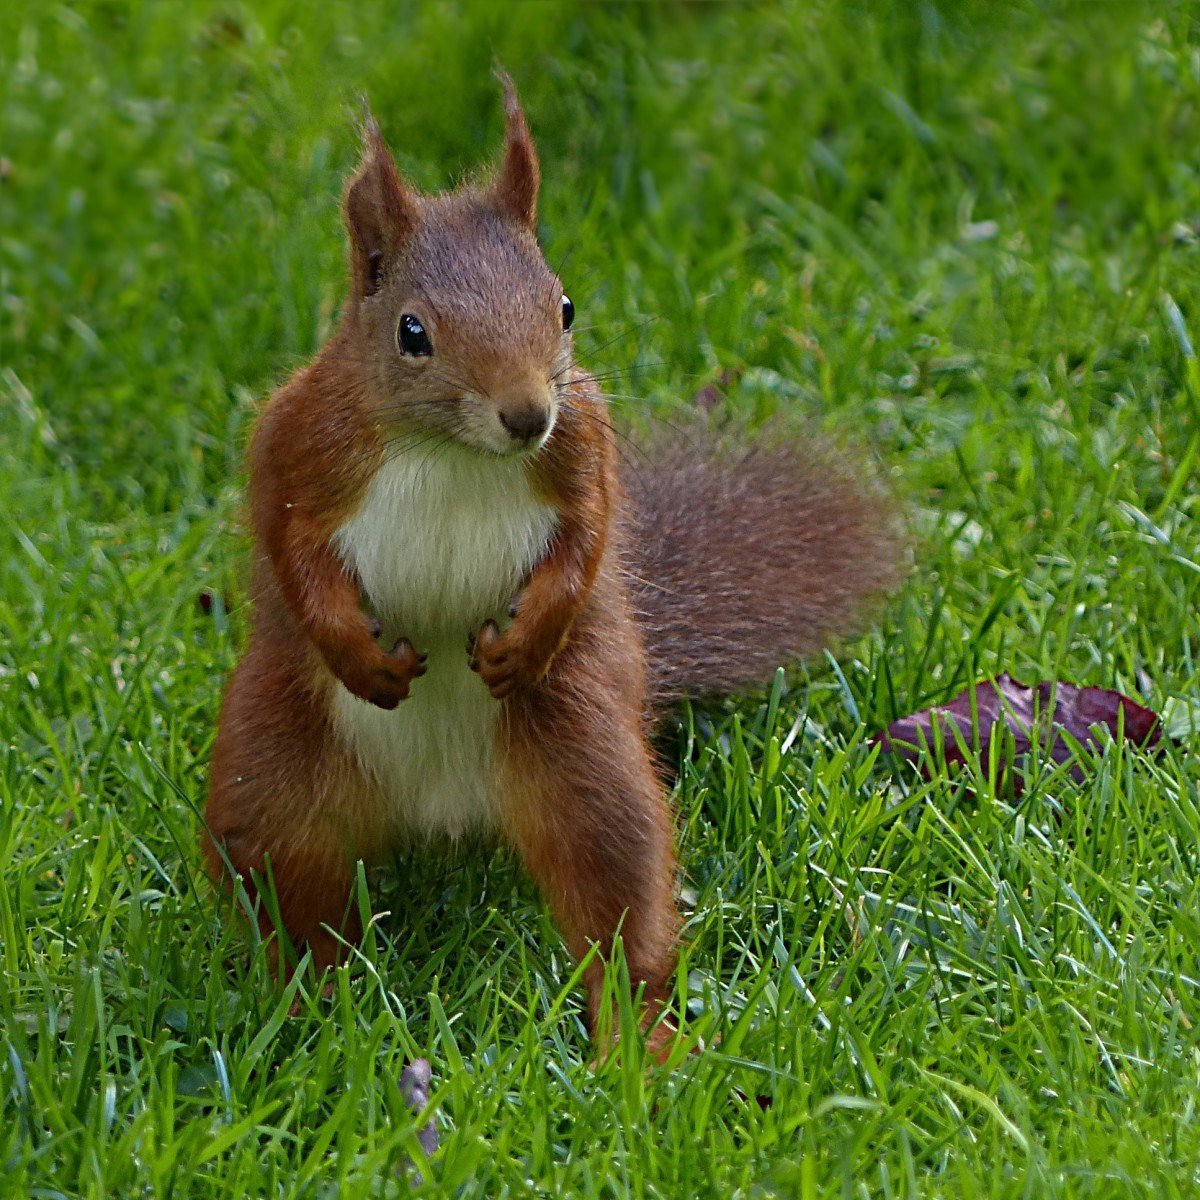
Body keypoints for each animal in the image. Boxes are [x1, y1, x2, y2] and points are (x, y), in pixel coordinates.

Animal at [206, 79, 902, 1051]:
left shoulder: (584, 445)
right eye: (412, 332)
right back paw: (318, 1016)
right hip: (273, 775)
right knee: (293, 902)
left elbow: (588, 539)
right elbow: (289, 545)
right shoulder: (298, 440)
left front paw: (526, 637)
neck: (451, 452)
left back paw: (636, 1043)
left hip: (582, 759)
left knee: (617, 904)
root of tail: (444, 809)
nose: (527, 413)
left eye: (564, 307)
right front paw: (355, 650)